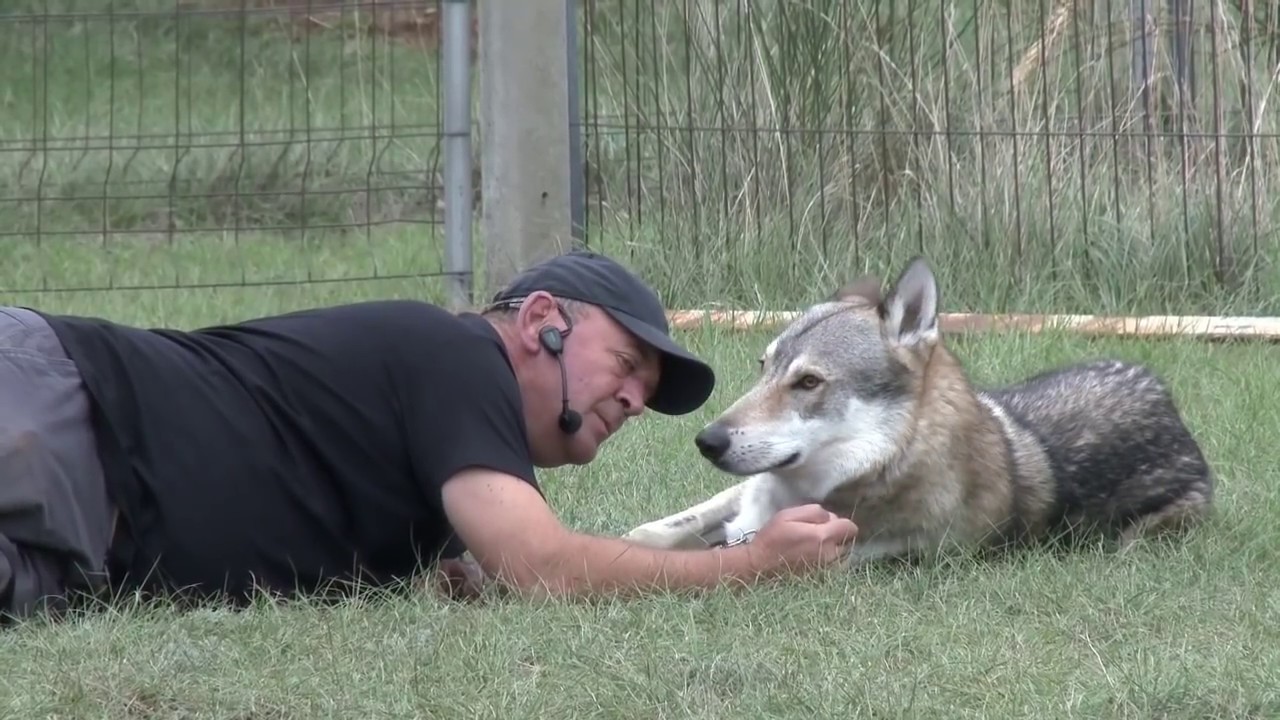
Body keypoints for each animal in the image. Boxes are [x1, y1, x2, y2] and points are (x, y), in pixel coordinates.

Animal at [624, 254, 1213, 563]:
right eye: (763, 366)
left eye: (809, 382)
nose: (707, 441)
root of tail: (1173, 413)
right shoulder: (739, 496)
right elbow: (656, 532)